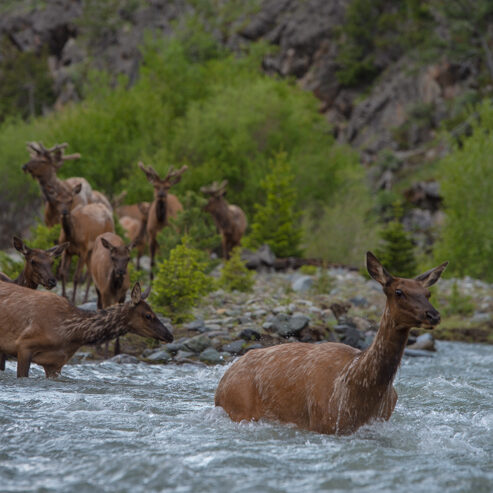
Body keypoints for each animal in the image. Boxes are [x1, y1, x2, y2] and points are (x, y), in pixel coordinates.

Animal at [214, 254, 446, 434]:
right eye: (399, 291)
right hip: (239, 408)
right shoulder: (324, 423)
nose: (433, 315)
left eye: (428, 293)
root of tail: (221, 384)